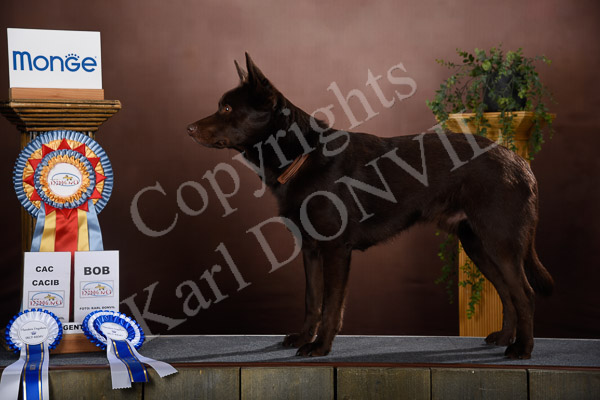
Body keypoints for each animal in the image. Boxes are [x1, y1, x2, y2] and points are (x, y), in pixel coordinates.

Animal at [187, 53, 554, 359]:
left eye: (227, 109)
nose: (188, 128)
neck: (303, 154)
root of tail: (520, 162)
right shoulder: (310, 248)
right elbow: (311, 300)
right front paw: (304, 338)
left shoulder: (336, 249)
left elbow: (331, 305)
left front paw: (319, 347)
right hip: (476, 244)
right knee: (506, 292)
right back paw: (504, 338)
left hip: (500, 242)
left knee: (524, 293)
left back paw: (522, 349)